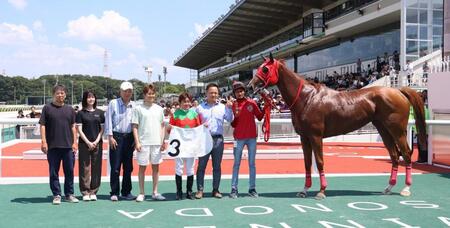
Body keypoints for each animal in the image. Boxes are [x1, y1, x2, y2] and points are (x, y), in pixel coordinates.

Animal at [248, 54, 428, 200]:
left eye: (265, 69)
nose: (250, 86)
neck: (307, 98)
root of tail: (399, 91)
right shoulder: (304, 137)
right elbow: (307, 163)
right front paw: (304, 190)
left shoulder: (316, 136)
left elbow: (319, 161)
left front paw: (321, 191)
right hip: (384, 130)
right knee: (394, 155)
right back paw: (389, 187)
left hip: (397, 131)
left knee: (406, 153)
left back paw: (406, 188)